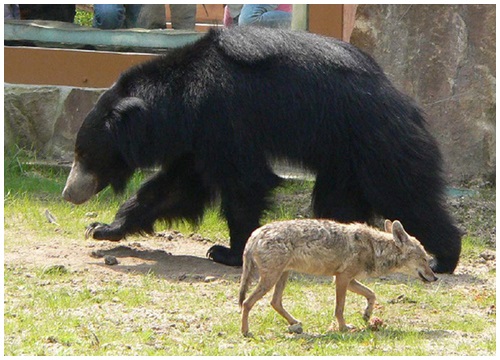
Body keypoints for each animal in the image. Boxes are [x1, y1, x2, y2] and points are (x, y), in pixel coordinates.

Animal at [62, 26, 460, 272]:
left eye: (85, 155)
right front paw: (102, 228)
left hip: (376, 141)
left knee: (404, 192)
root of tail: (405, 101)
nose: (68, 193)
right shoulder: (199, 139)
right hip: (342, 158)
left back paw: (444, 257)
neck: (182, 101)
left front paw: (228, 252)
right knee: (339, 202)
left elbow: (243, 183)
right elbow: (173, 188)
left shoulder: (226, 115)